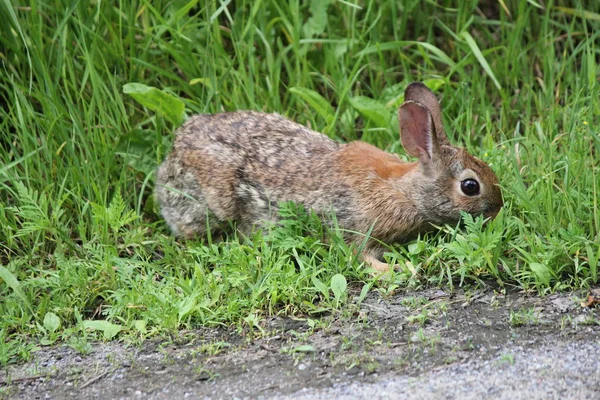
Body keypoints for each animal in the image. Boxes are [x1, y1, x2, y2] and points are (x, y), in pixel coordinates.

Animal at [155, 83, 502, 274]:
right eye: (470, 186)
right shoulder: (354, 228)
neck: (405, 192)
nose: (497, 209)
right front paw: (400, 268)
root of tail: (170, 160)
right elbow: (360, 258)